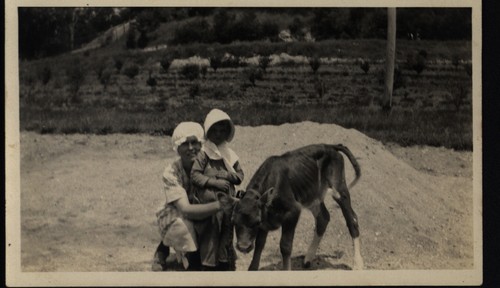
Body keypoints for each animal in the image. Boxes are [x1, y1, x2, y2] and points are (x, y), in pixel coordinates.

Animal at [230, 144, 364, 270]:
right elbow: (259, 244)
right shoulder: (266, 219)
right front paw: (252, 269)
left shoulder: (292, 212)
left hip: (339, 188)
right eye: (234, 222)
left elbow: (285, 246)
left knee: (352, 220)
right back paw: (308, 258)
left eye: (256, 222)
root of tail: (330, 146)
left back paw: (357, 263)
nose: (243, 246)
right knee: (323, 218)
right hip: (312, 195)